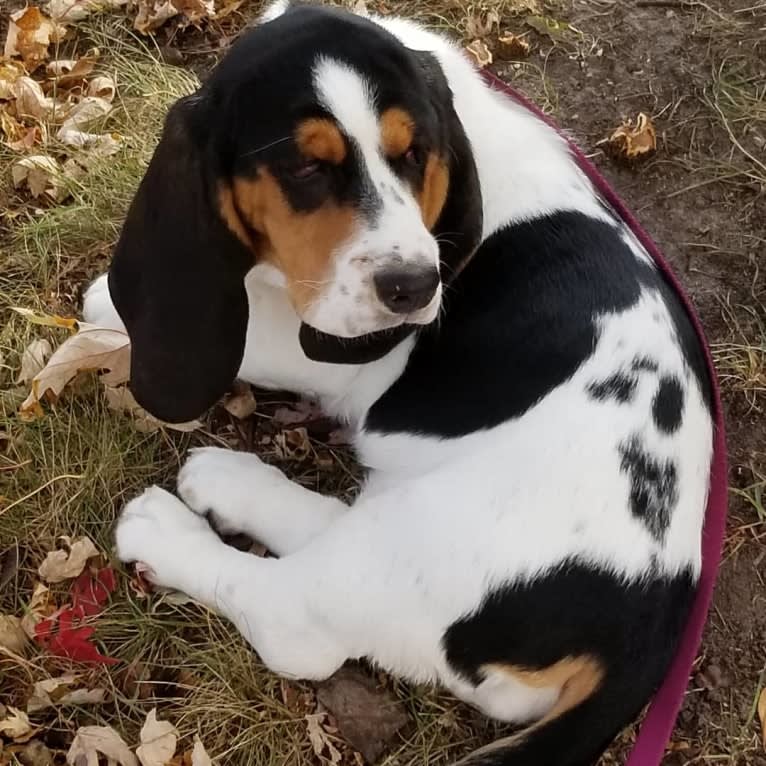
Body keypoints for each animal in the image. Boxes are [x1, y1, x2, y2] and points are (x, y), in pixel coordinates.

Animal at [81, 3, 716, 764]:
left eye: (414, 157)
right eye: (306, 167)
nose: (416, 288)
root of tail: (646, 631)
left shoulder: (326, 341)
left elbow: (251, 335)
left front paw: (102, 305)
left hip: (416, 546)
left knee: (290, 615)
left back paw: (169, 526)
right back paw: (229, 482)